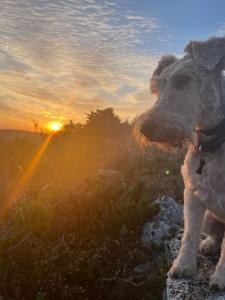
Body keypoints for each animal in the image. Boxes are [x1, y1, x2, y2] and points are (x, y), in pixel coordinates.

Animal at [135, 36, 225, 290]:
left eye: (183, 79)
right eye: (157, 87)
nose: (146, 129)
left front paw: (220, 278)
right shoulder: (193, 195)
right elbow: (189, 235)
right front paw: (182, 266)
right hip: (210, 219)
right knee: (214, 236)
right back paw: (208, 245)